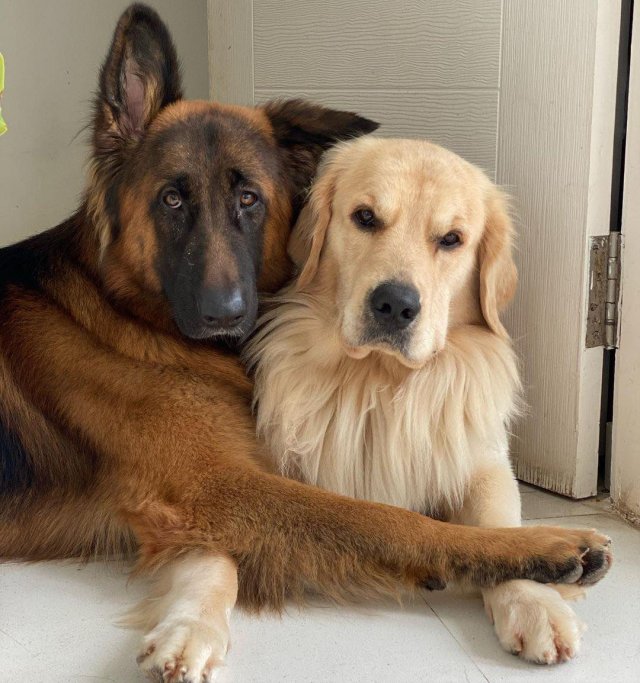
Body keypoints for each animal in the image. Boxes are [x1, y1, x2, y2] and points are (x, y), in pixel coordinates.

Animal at [247, 136, 606, 665]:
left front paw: (536, 604)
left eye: (452, 239)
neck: (381, 381)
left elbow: (499, 527)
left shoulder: (485, 465)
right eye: (365, 217)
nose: (395, 304)